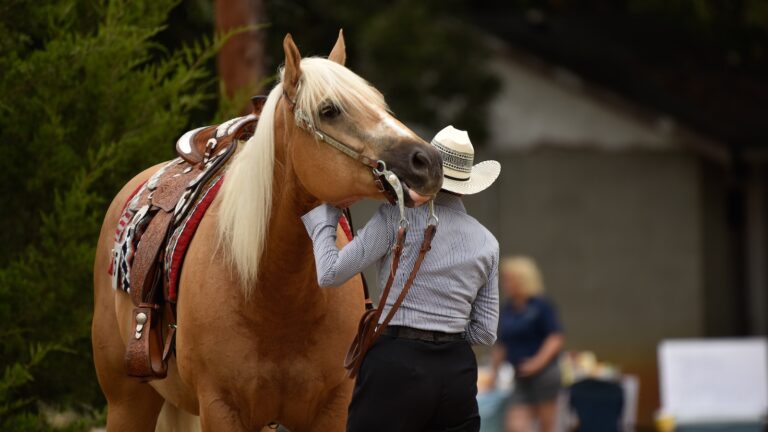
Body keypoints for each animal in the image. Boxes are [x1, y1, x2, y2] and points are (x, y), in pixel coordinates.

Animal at [91, 32, 444, 431]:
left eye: (379, 103)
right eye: (329, 110)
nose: (427, 161)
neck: (275, 294)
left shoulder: (333, 409)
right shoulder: (220, 408)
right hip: (127, 401)